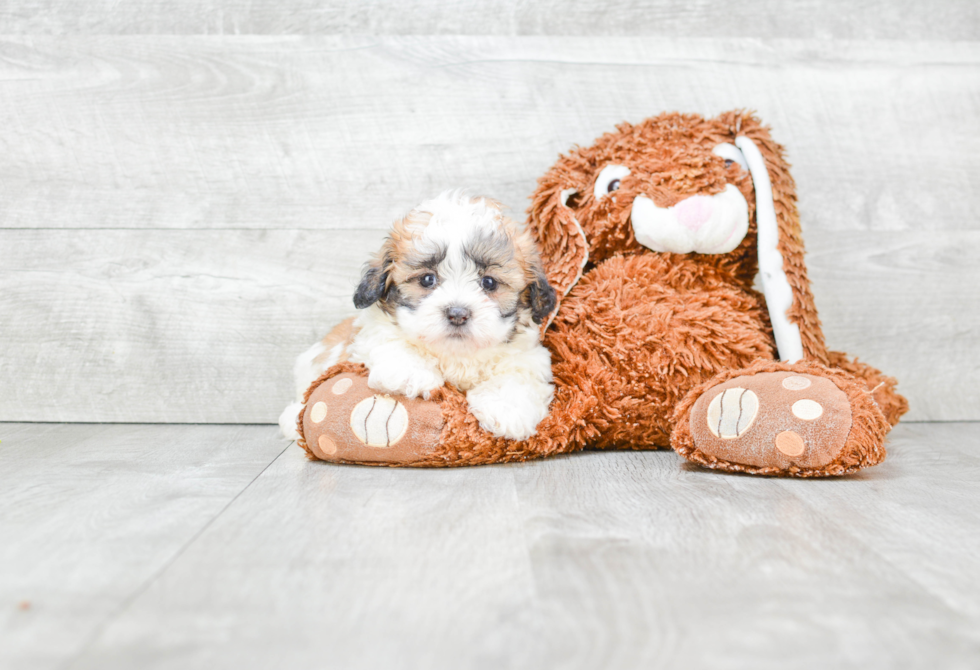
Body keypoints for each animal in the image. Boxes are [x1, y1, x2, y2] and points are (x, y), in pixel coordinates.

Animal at [284, 192, 560, 446]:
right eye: (427, 279)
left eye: (489, 282)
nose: (457, 314)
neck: (455, 354)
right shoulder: (369, 334)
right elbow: (390, 342)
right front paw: (412, 373)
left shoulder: (528, 356)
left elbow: (517, 377)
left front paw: (507, 409)